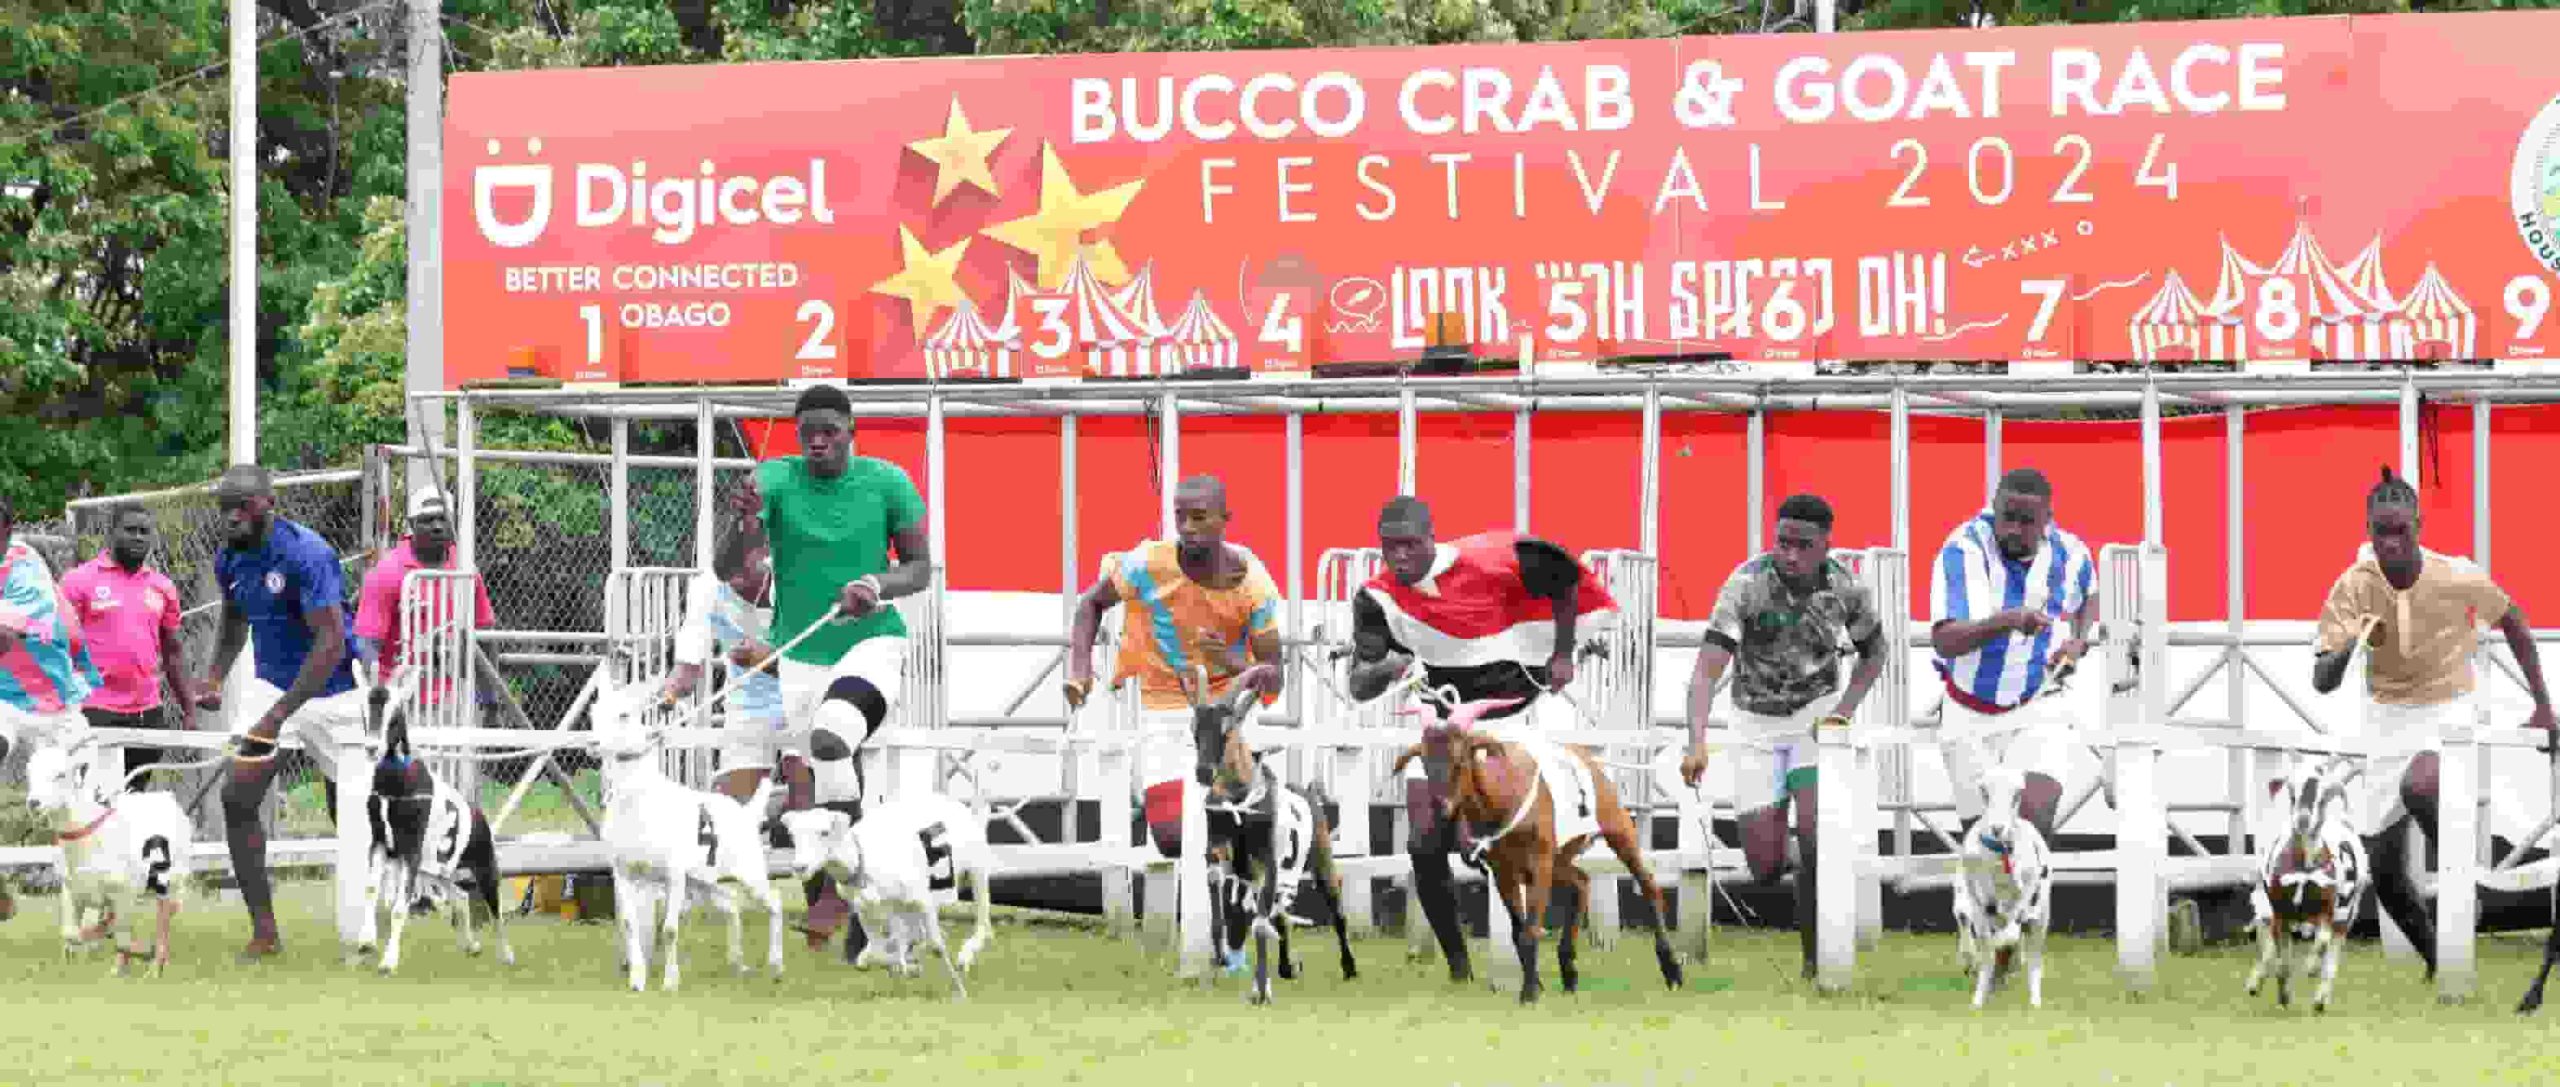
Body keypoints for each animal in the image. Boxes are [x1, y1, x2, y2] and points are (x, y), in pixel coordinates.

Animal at [773, 787, 993, 997]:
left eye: (824, 832)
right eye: (792, 835)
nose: (800, 867)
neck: (865, 859)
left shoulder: (921, 899)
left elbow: (935, 944)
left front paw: (958, 989)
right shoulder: (866, 911)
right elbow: (876, 954)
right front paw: (907, 967)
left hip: (977, 871)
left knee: (981, 920)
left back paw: (965, 956)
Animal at [1955, 762, 2058, 1007]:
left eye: (2018, 793)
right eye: (1983, 791)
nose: (1997, 828)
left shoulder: (2027, 894)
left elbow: (2010, 935)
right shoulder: (1977, 902)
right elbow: (1985, 945)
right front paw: (1978, 997)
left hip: (2043, 915)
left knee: (2034, 956)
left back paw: (2034, 1000)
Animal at [2252, 757, 2365, 1012]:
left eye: (2322, 797)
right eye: (2292, 793)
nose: (2303, 821)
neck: (2304, 864)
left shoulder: (2328, 909)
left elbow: (2322, 942)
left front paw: (2311, 968)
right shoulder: (2279, 910)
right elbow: (2279, 958)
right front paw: (2282, 994)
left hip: (2345, 917)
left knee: (2331, 955)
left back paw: (2320, 999)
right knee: (2269, 944)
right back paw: (2256, 983)